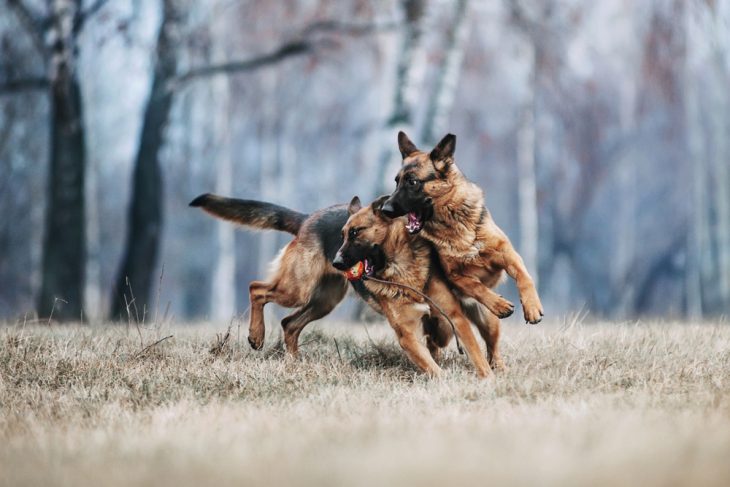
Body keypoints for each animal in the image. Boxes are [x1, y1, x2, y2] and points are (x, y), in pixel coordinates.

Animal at [334, 194, 494, 378]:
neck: (401, 271)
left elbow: (475, 353)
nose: (336, 263)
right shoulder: (408, 336)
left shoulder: (455, 317)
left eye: (355, 232)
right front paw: (445, 379)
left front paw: (488, 378)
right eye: (342, 236)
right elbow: (431, 366)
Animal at [382, 132, 540, 326]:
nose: (385, 209)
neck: (456, 223)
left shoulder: (507, 254)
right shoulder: (456, 276)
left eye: (412, 182)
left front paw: (532, 307)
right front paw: (498, 304)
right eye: (396, 182)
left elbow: (524, 277)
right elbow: (477, 287)